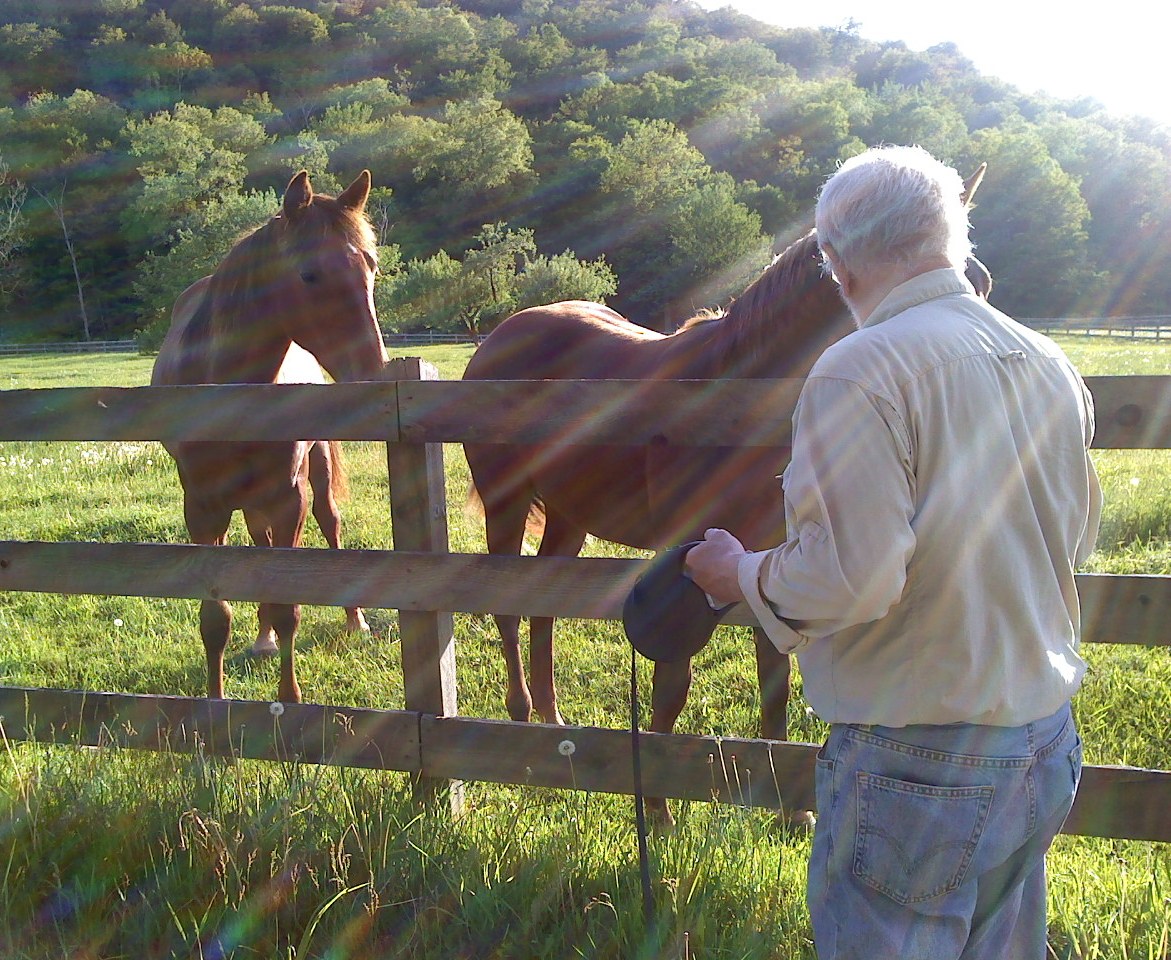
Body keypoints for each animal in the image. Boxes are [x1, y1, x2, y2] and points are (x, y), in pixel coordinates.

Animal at [151, 169, 388, 704]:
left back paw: (355, 622)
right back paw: (261, 641)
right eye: (308, 274)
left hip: (311, 478)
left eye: (370, 267)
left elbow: (287, 603)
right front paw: (215, 704)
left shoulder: (288, 499)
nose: (375, 372)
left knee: (330, 524)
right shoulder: (202, 506)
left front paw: (291, 701)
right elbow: (215, 615)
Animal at [463, 173, 989, 826]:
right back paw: (519, 718)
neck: (736, 399)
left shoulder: (772, 560)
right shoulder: (681, 561)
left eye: (982, 282)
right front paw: (659, 811)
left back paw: (552, 723)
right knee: (508, 608)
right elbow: (672, 685)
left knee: (543, 609)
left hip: (568, 515)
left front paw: (793, 812)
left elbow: (774, 681)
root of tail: (498, 337)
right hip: (507, 503)